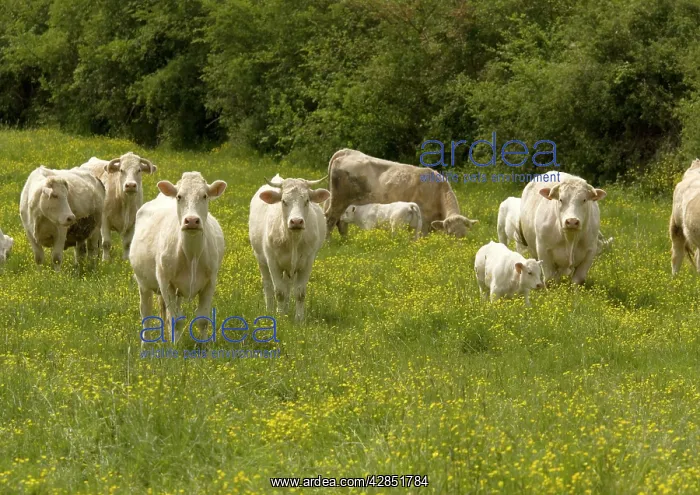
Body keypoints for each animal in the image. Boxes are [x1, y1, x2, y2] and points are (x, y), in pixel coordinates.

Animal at [129, 172, 227, 343]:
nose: (192, 220)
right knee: (146, 313)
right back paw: (146, 344)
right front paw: (175, 347)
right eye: (179, 196)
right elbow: (175, 319)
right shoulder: (165, 282)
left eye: (204, 196)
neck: (191, 255)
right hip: (143, 283)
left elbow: (202, 319)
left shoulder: (210, 282)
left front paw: (204, 347)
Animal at [249, 174, 329, 322]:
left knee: (287, 286)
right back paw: (270, 309)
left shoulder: (307, 262)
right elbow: (279, 292)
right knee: (268, 286)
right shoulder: (272, 262)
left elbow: (299, 293)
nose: (296, 221)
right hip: (261, 260)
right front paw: (280, 317)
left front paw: (299, 319)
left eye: (307, 200)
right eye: (284, 201)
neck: (293, 240)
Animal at [324, 149, 478, 238]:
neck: (437, 191)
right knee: (330, 219)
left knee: (341, 222)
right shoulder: (424, 222)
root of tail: (347, 152)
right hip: (339, 200)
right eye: (450, 234)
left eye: (464, 234)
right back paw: (328, 243)